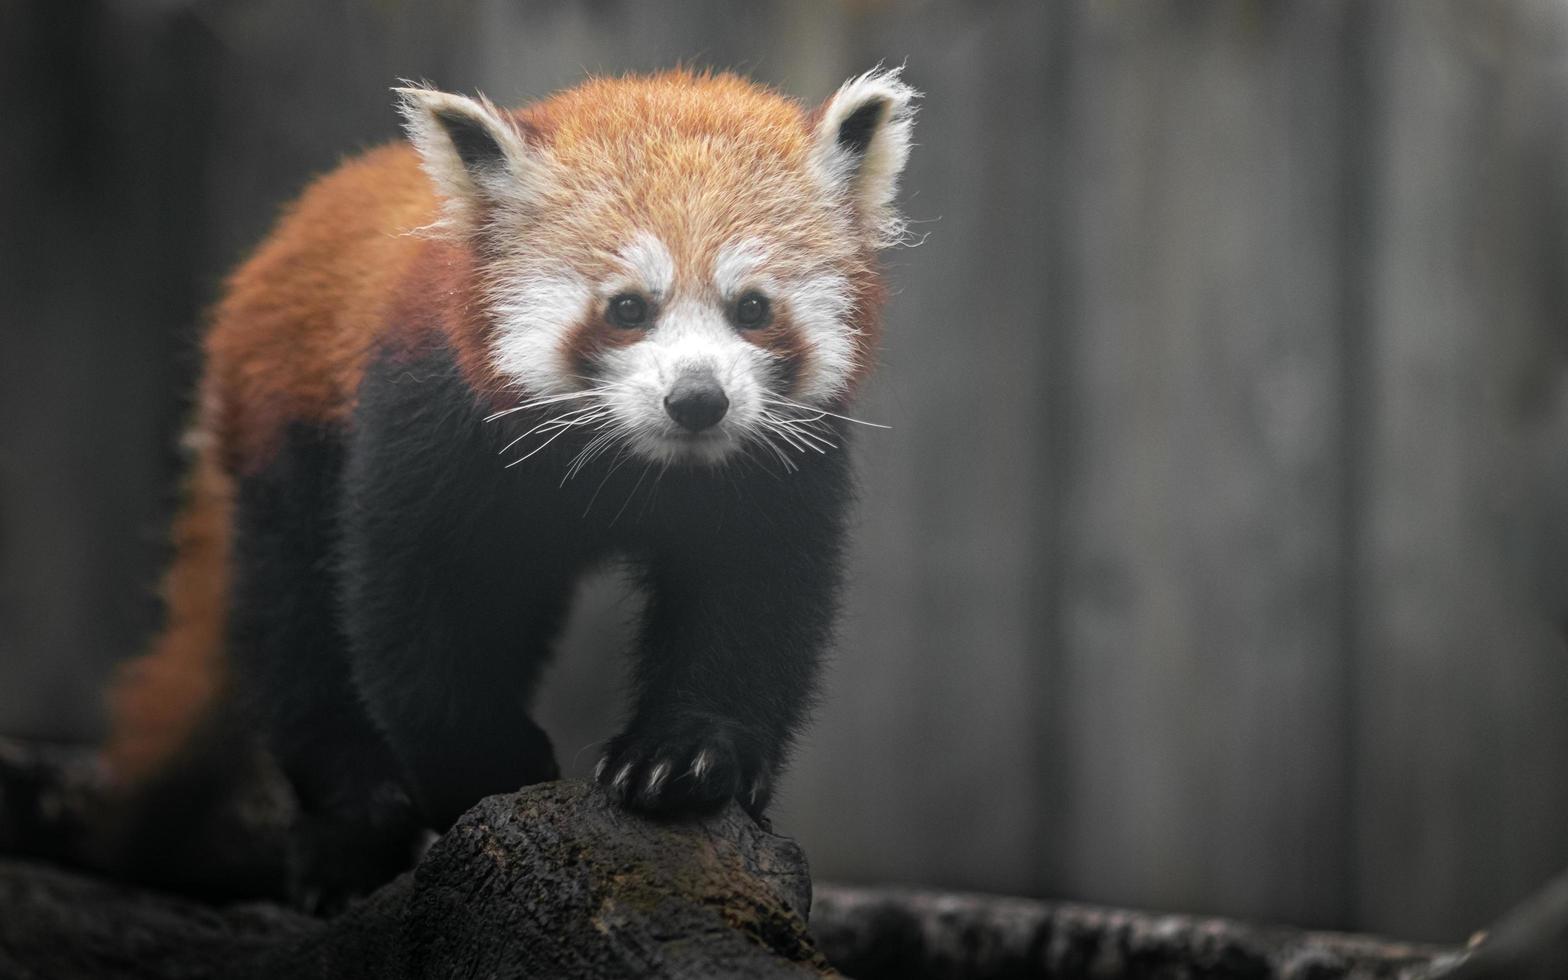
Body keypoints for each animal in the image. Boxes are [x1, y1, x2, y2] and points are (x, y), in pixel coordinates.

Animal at [101, 67, 915, 903]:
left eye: (752, 307)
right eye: (628, 308)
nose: (697, 399)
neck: (629, 462)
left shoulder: (775, 468)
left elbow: (752, 606)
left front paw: (684, 760)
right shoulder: (428, 418)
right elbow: (418, 610)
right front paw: (486, 770)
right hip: (286, 425)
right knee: (290, 615)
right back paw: (349, 817)